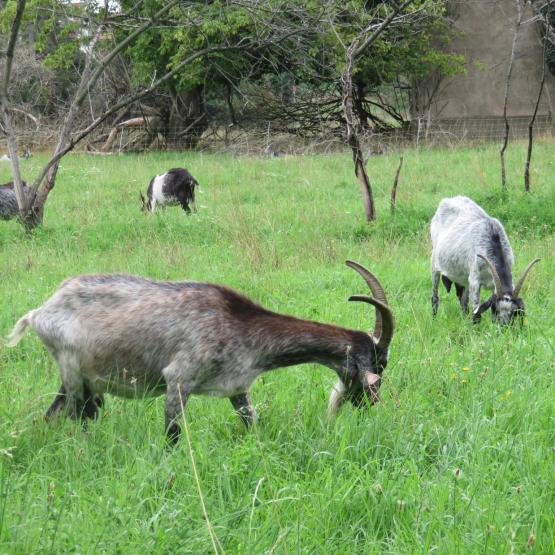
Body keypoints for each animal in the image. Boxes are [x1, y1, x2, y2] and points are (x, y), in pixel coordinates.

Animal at [6, 262, 394, 446]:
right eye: (380, 364)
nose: (367, 407)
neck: (240, 322)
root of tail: (41, 311)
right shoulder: (179, 380)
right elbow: (173, 435)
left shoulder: (238, 388)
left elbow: (252, 424)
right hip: (72, 374)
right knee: (73, 417)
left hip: (82, 380)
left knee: (54, 416)